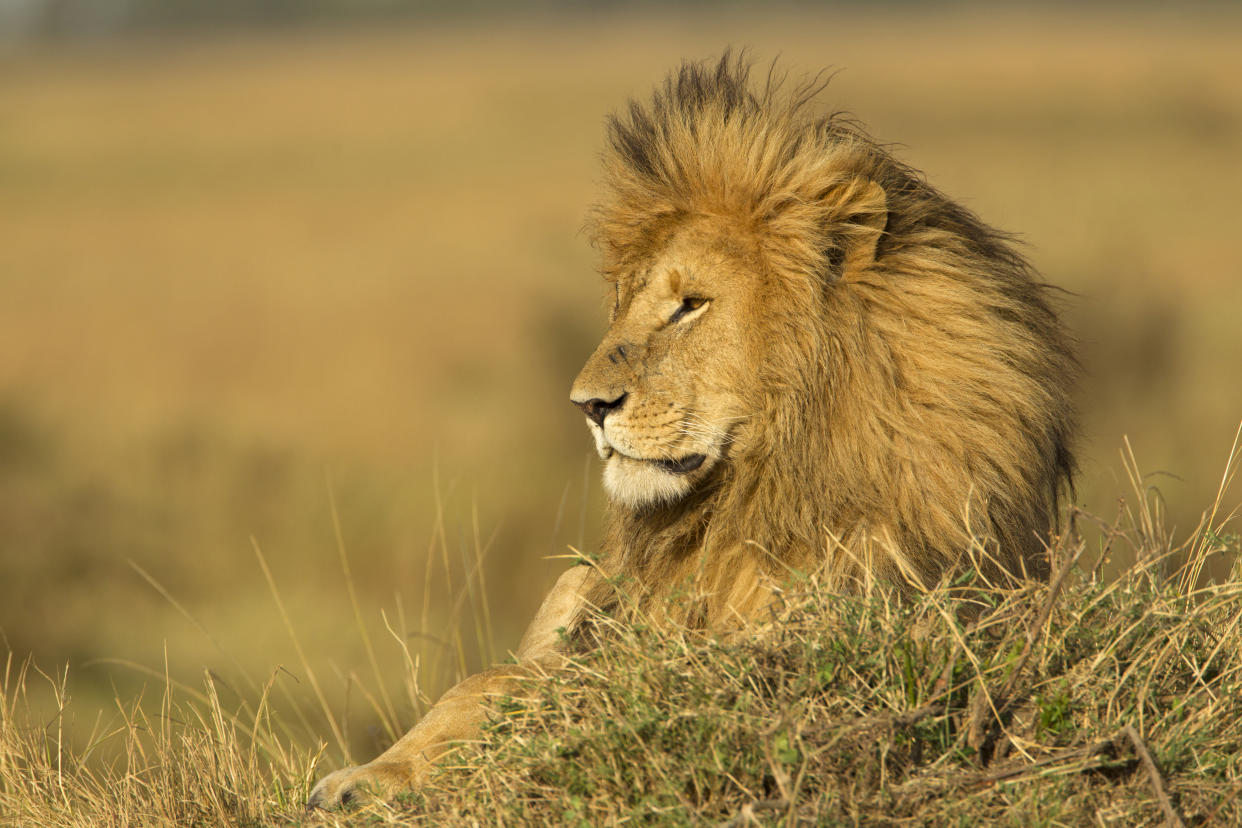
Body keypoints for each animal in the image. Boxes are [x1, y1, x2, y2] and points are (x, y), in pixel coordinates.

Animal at [305, 53, 1073, 809]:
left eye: (691, 305)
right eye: (624, 300)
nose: (588, 405)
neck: (761, 495)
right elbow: (493, 683)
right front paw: (366, 778)